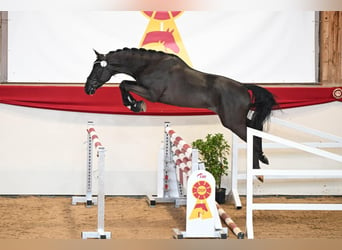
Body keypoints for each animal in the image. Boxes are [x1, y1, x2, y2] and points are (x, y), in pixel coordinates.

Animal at [85, 47, 278, 172]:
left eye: (97, 69)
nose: (87, 89)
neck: (149, 66)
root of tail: (244, 87)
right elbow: (124, 84)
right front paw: (134, 104)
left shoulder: (152, 94)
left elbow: (124, 84)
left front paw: (136, 105)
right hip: (236, 119)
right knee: (256, 128)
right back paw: (261, 161)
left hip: (232, 122)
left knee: (252, 134)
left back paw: (258, 166)